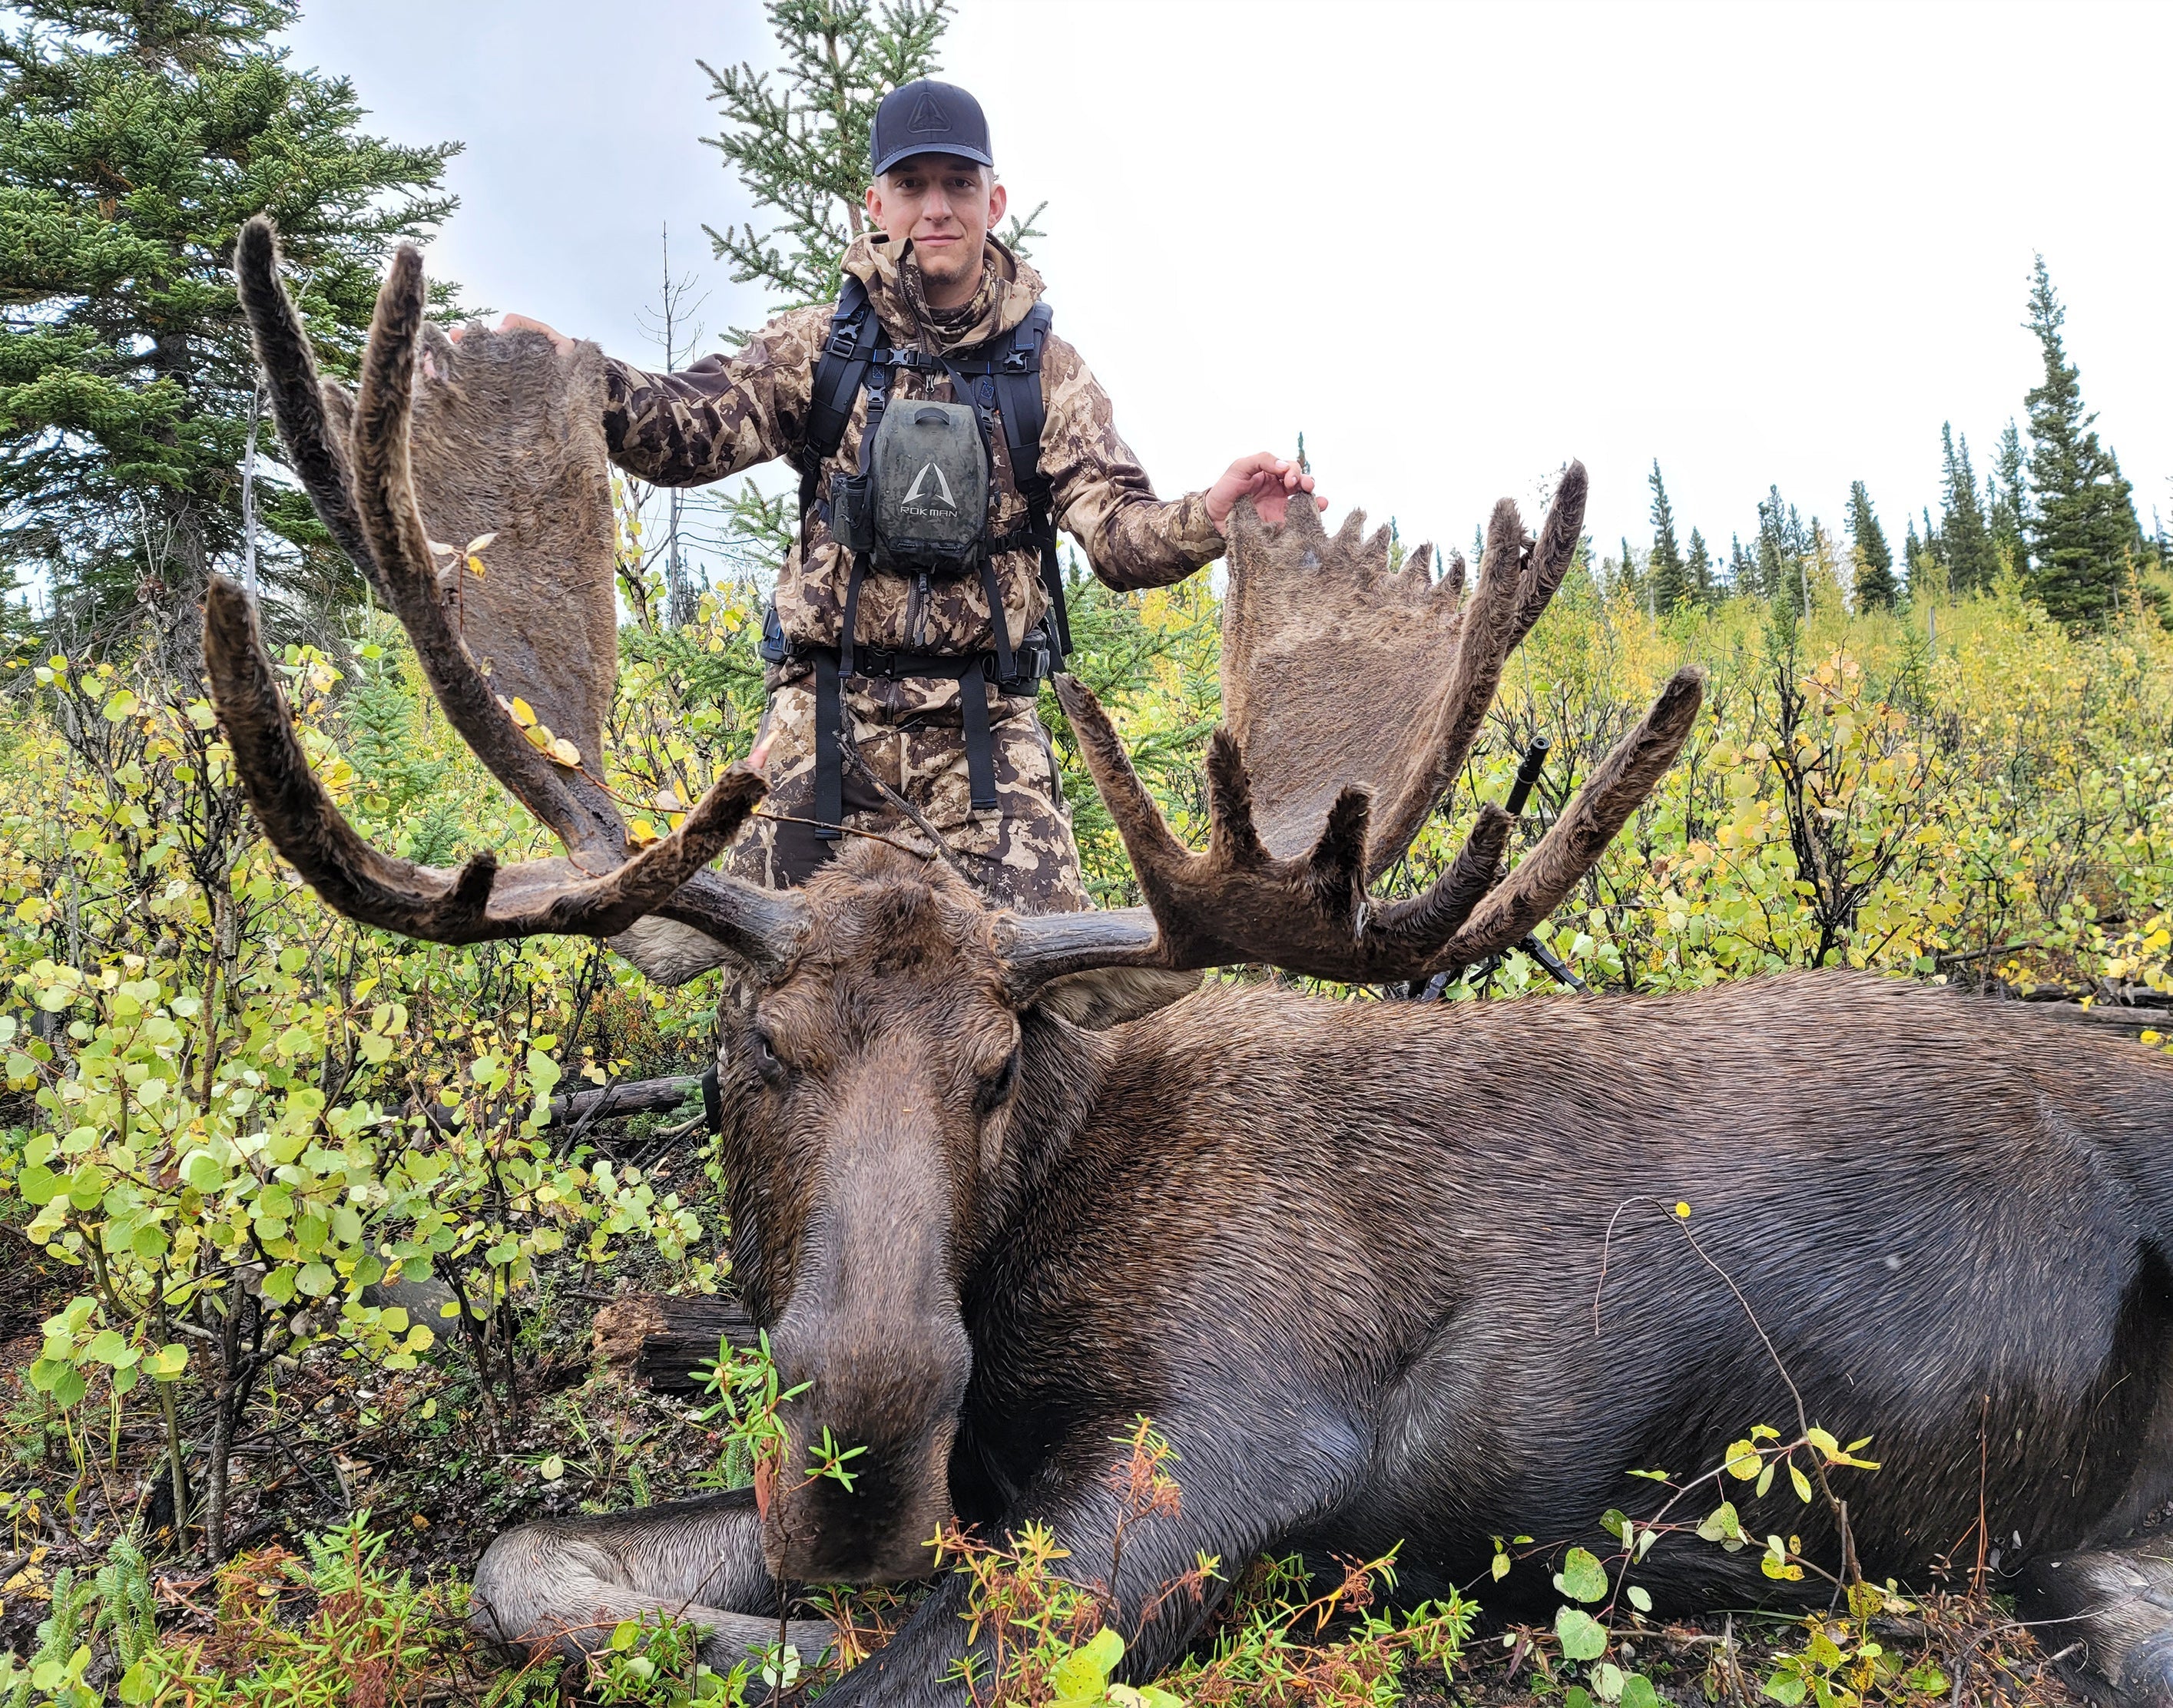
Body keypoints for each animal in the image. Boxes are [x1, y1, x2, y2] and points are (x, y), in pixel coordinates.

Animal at [212, 217, 2173, 1706]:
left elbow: (894, 1667)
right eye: (741, 1055)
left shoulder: (1236, 1440)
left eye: (998, 1066)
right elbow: (524, 1557)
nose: (861, 1451)